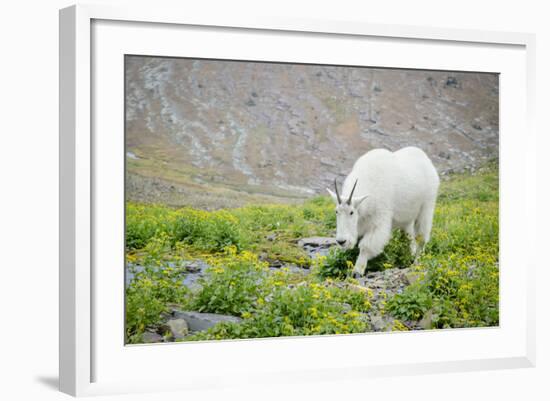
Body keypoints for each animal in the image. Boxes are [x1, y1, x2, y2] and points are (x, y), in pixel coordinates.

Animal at [328, 146, 440, 276]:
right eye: (336, 211)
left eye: (351, 212)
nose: (341, 241)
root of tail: (426, 159)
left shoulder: (379, 219)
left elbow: (366, 246)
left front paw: (357, 271)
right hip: (406, 218)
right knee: (408, 237)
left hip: (427, 205)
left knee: (421, 237)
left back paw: (417, 262)